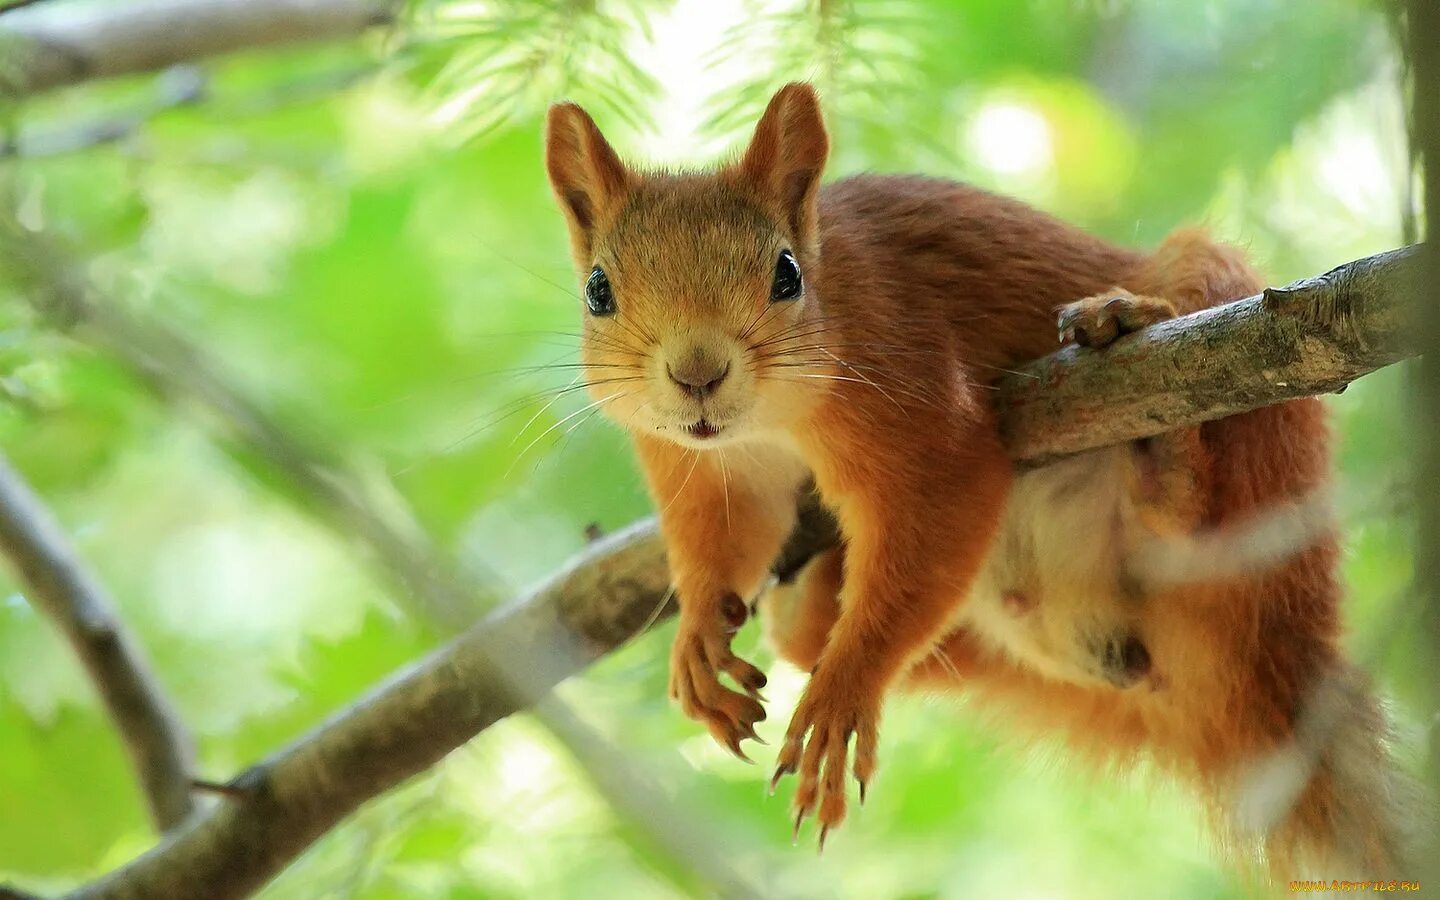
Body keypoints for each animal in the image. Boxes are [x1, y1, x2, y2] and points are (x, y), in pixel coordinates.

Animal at [541, 82, 1428, 875]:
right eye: (598, 291)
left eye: (786, 274)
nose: (697, 375)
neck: (765, 425)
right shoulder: (705, 468)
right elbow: (724, 540)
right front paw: (698, 634)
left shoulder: (912, 388)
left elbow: (939, 504)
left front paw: (843, 692)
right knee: (808, 623)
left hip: (1246, 415)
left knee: (1199, 510)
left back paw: (1151, 419)